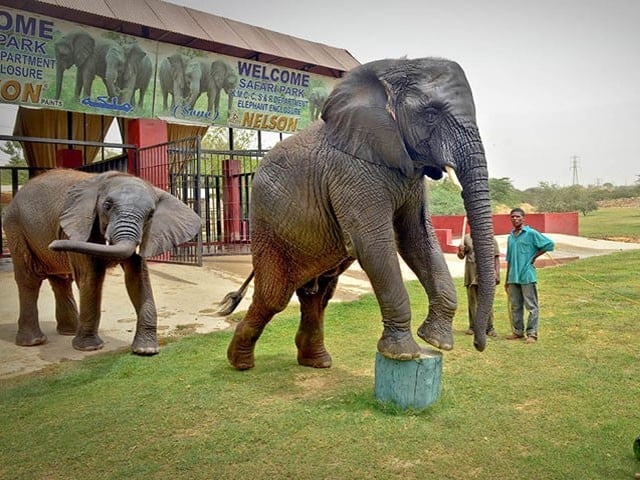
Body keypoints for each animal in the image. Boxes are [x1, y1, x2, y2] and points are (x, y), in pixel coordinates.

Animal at [3, 169, 201, 355]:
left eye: (151, 214)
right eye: (107, 206)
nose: (53, 244)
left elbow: (138, 277)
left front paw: (146, 350)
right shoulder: (76, 228)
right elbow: (91, 276)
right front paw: (89, 348)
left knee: (60, 280)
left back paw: (69, 332)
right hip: (14, 226)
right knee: (29, 279)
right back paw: (34, 342)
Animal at [219, 57, 496, 371]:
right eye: (431, 114)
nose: (479, 344)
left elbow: (417, 239)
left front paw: (437, 342)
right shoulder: (350, 170)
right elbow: (374, 243)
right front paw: (402, 353)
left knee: (318, 294)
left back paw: (316, 361)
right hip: (267, 222)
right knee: (274, 296)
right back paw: (240, 363)